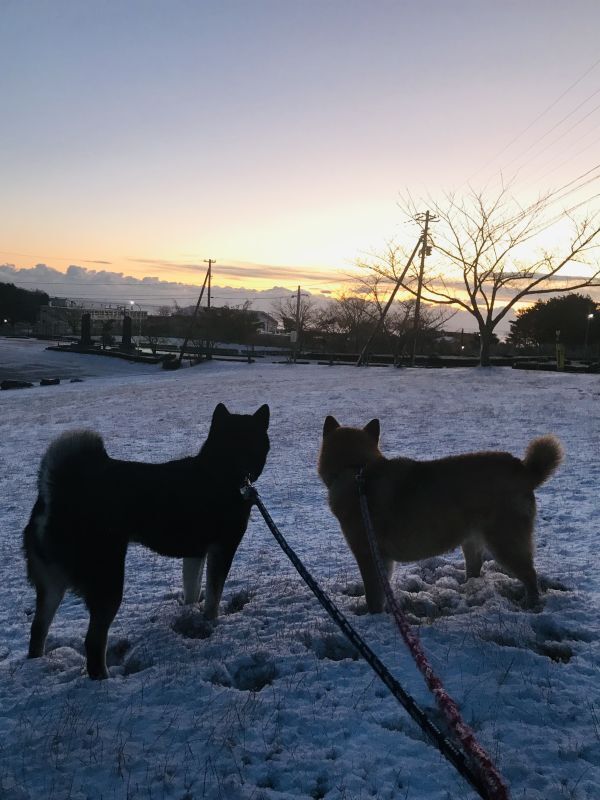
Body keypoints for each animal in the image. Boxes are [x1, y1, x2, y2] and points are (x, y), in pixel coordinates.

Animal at [23, 404, 270, 680]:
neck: (223, 469)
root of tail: (55, 495)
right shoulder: (223, 548)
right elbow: (214, 596)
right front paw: (212, 623)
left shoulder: (195, 553)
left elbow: (193, 588)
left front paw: (191, 615)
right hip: (108, 581)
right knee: (93, 641)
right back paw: (107, 681)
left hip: (52, 585)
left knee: (37, 630)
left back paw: (38, 665)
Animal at [318, 416, 564, 608]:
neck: (356, 469)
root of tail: (523, 469)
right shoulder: (383, 559)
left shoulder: (368, 555)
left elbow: (374, 597)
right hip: (472, 540)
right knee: (476, 569)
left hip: (505, 542)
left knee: (530, 575)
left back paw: (530, 604)